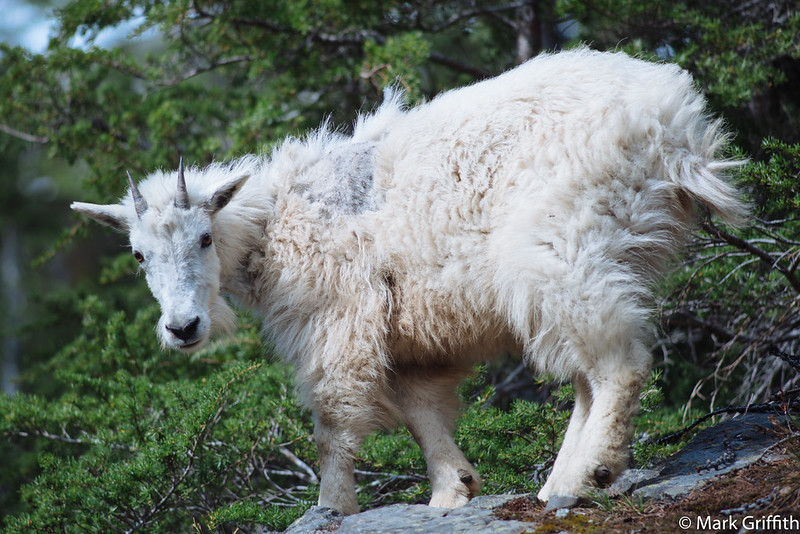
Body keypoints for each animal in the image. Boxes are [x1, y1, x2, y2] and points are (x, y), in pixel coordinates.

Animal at [72, 48, 745, 514]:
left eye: (204, 239)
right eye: (138, 255)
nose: (182, 327)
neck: (271, 224)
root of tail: (678, 125)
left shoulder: (336, 319)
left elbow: (333, 420)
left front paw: (331, 506)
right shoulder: (410, 332)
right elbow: (422, 409)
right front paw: (453, 488)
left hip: (567, 247)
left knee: (615, 363)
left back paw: (589, 475)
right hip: (594, 257)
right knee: (587, 371)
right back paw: (559, 481)